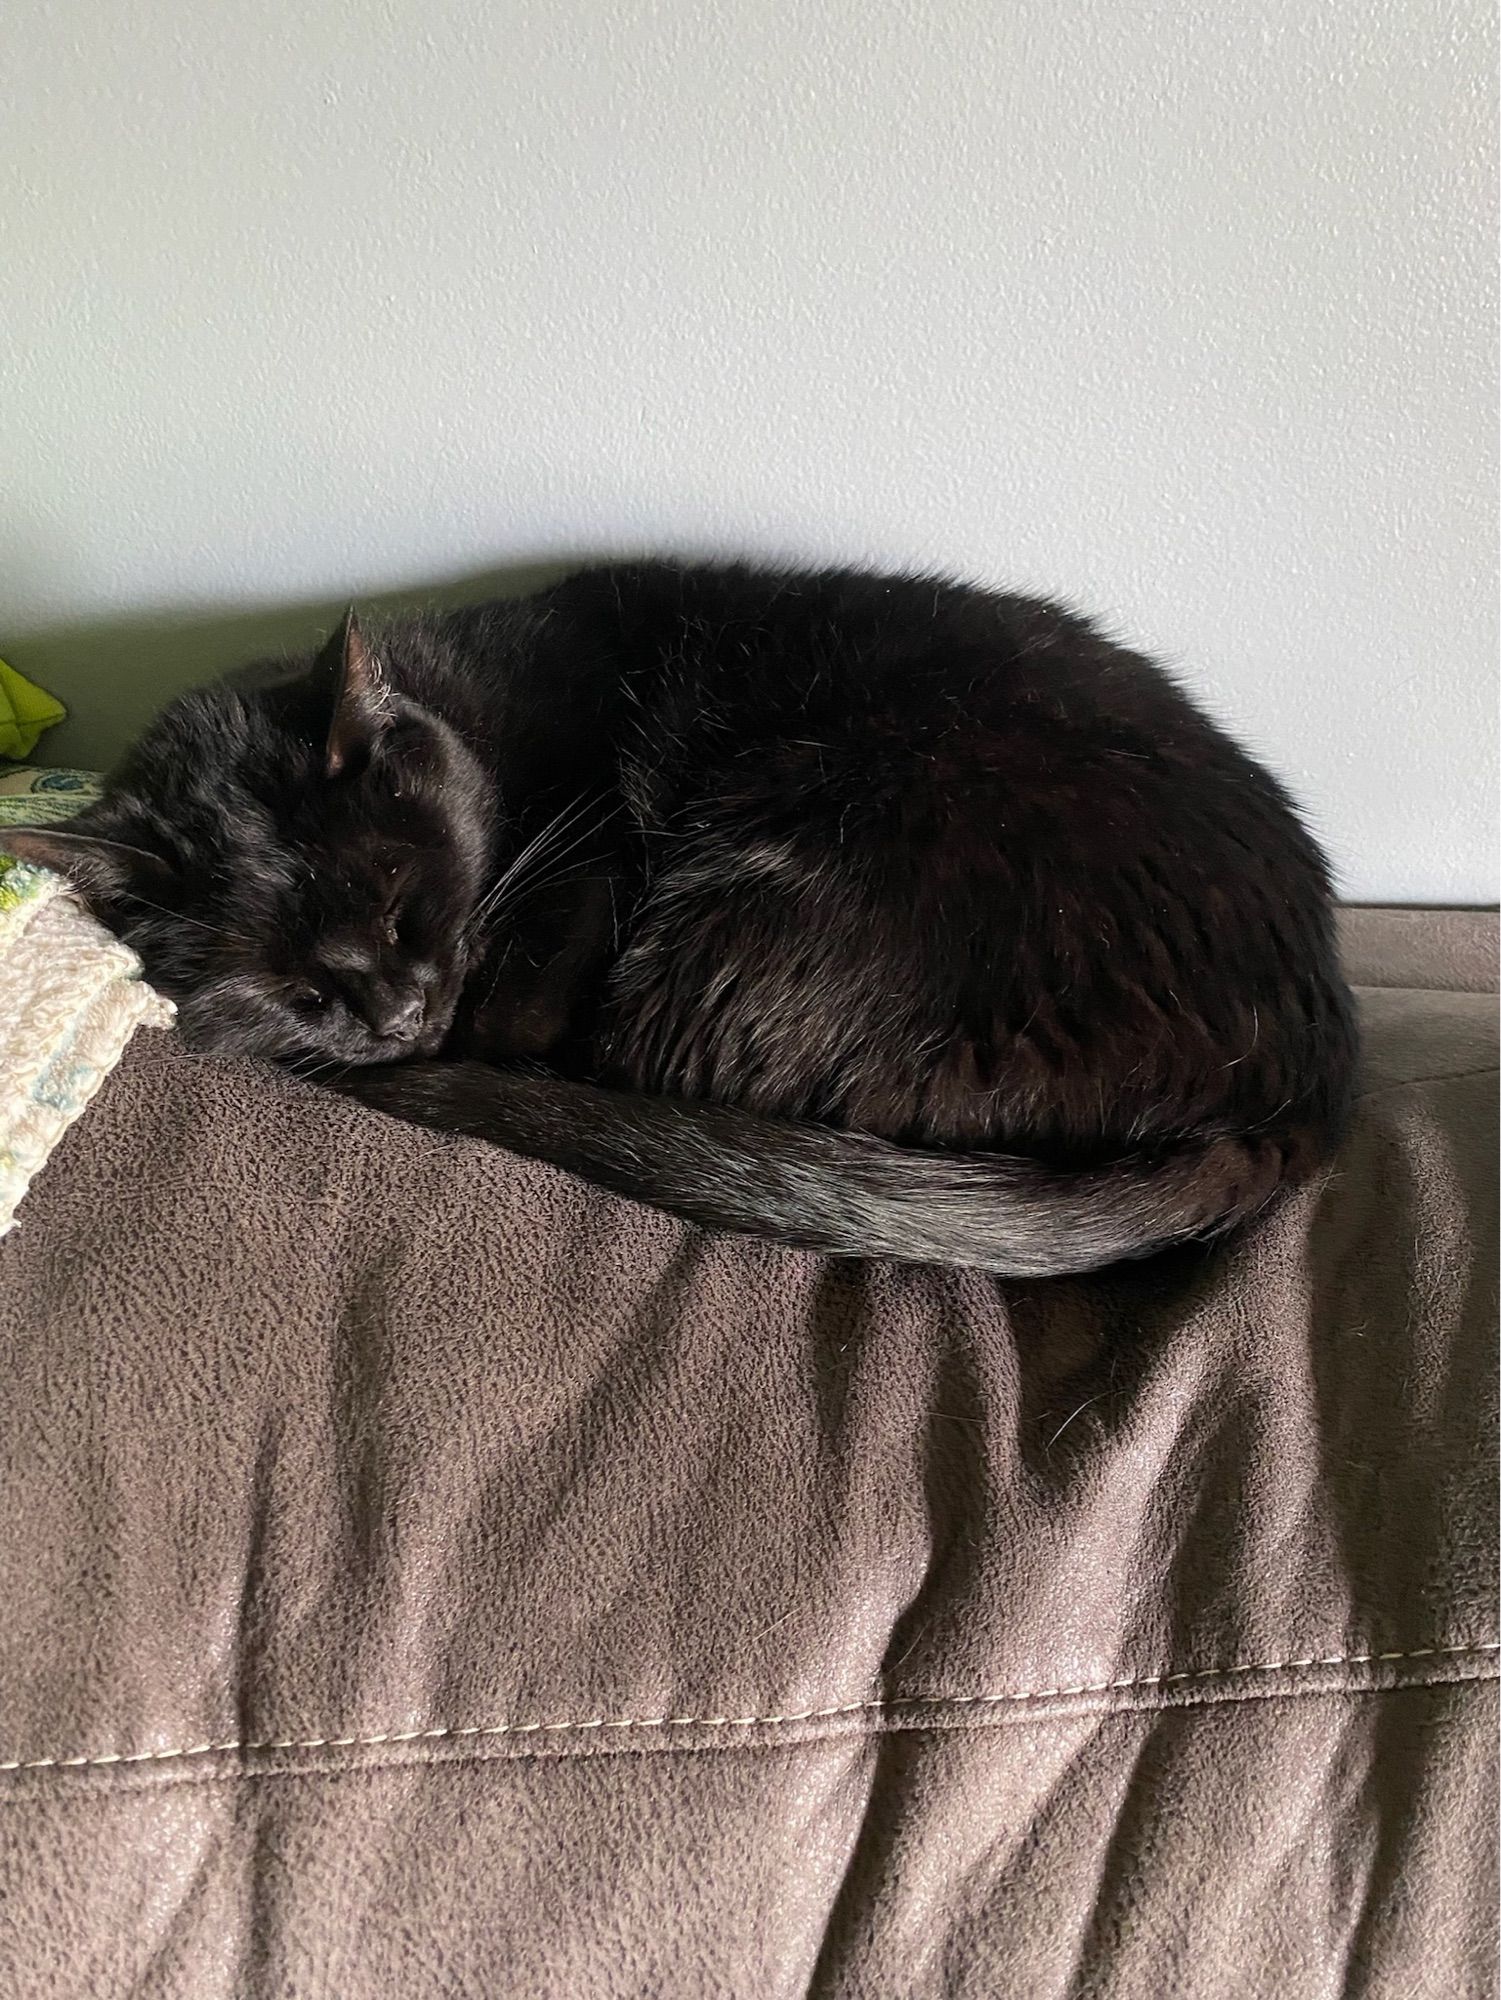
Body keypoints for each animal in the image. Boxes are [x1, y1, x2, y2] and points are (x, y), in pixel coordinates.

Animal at [2, 560, 1360, 1280]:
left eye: (396, 898)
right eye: (285, 981)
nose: (393, 1011)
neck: (485, 725)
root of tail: (1302, 1085)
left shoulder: (588, 859)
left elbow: (521, 998)